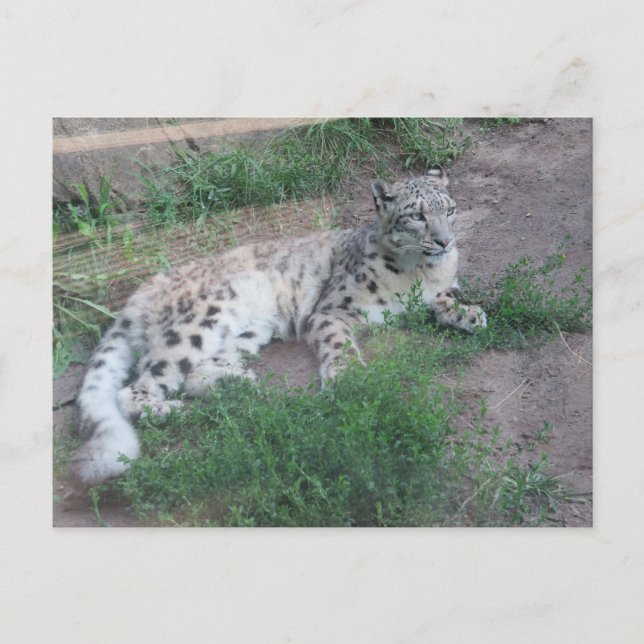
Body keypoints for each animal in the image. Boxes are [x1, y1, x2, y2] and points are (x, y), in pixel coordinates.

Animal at [71, 166, 486, 486]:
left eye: (450, 209)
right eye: (417, 215)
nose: (445, 241)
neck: (420, 273)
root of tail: (140, 293)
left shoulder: (439, 285)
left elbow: (445, 298)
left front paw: (469, 314)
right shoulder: (333, 310)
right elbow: (340, 344)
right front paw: (348, 380)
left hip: (249, 330)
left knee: (196, 372)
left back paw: (239, 385)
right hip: (196, 325)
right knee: (136, 388)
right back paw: (182, 410)